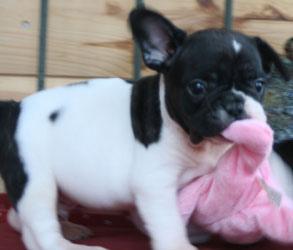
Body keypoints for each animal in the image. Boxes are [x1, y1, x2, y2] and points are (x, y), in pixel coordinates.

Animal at [0, 7, 288, 250]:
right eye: (198, 87)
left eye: (259, 84)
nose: (235, 103)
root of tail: (16, 108)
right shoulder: (155, 183)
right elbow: (169, 219)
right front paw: (179, 245)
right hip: (36, 180)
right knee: (41, 230)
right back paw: (69, 245)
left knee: (21, 220)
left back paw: (68, 228)